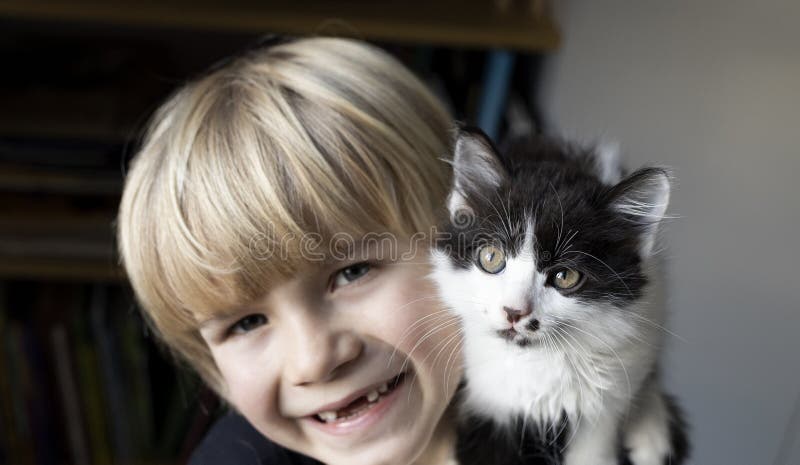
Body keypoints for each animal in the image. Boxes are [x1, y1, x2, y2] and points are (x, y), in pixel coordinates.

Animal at [432, 128, 688, 464]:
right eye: (491, 258)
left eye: (565, 277)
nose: (514, 312)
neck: (539, 362)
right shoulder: (484, 401)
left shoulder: (601, 411)